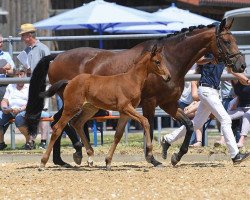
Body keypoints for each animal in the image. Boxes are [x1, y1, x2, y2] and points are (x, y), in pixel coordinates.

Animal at [39, 44, 171, 170]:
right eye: (157, 61)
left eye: (163, 60)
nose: (168, 77)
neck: (131, 80)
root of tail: (70, 82)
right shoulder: (126, 107)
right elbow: (145, 121)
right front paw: (149, 152)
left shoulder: (125, 113)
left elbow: (118, 135)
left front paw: (108, 162)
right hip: (71, 108)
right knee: (57, 128)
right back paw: (43, 163)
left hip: (90, 108)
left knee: (77, 123)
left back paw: (90, 155)